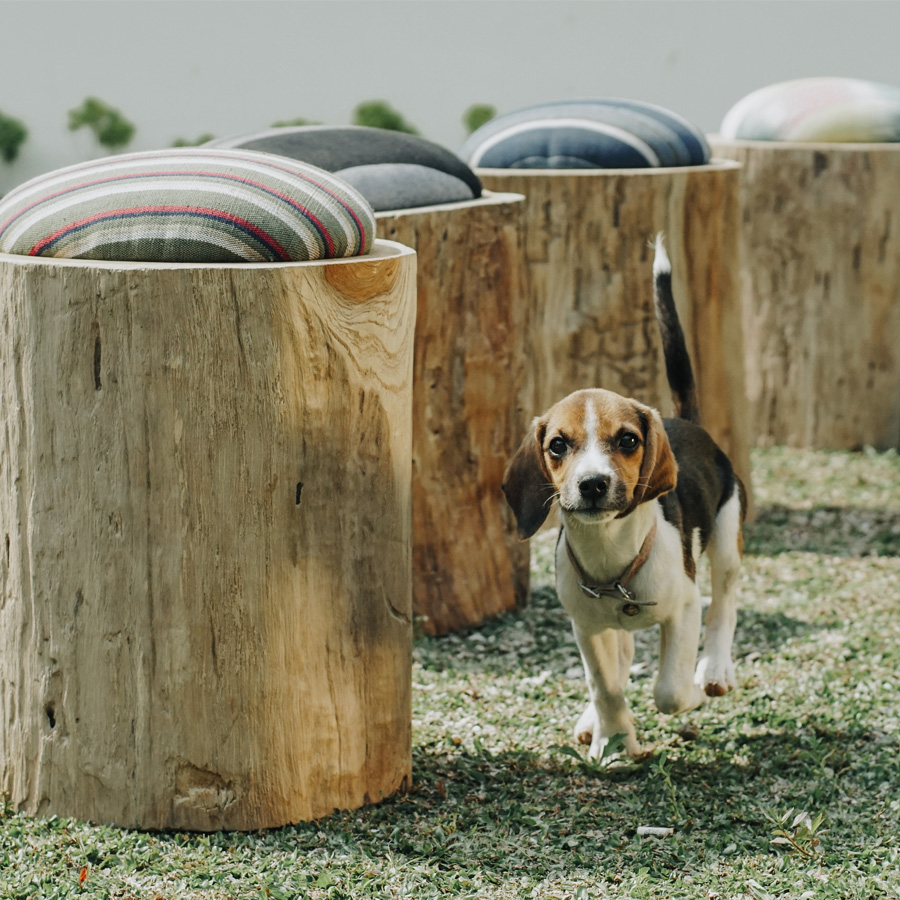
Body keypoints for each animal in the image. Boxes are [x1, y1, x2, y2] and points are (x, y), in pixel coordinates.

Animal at [506, 239, 744, 760]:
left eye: (628, 440)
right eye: (558, 445)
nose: (592, 484)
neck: (613, 559)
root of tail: (686, 422)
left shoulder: (683, 610)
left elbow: (669, 690)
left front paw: (691, 695)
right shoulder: (586, 627)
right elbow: (606, 685)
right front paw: (613, 738)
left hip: (726, 538)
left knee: (724, 604)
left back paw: (713, 672)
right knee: (622, 657)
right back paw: (593, 719)